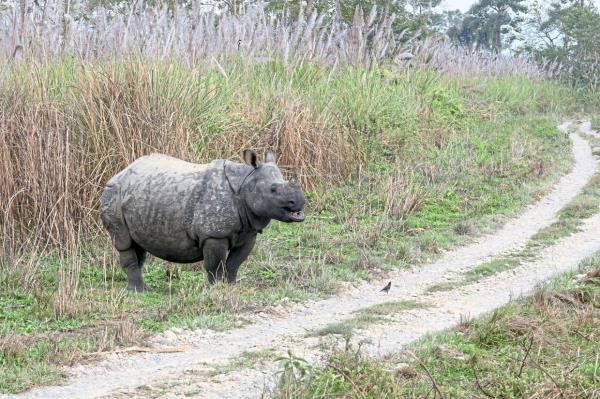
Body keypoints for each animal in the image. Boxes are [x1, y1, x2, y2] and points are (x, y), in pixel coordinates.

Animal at [101, 150, 304, 290]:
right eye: (273, 190)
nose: (299, 202)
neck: (246, 182)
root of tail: (120, 172)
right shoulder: (214, 235)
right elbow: (214, 265)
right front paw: (215, 289)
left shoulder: (248, 233)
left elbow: (234, 263)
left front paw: (231, 287)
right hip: (113, 193)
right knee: (124, 242)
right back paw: (140, 291)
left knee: (138, 245)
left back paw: (138, 288)